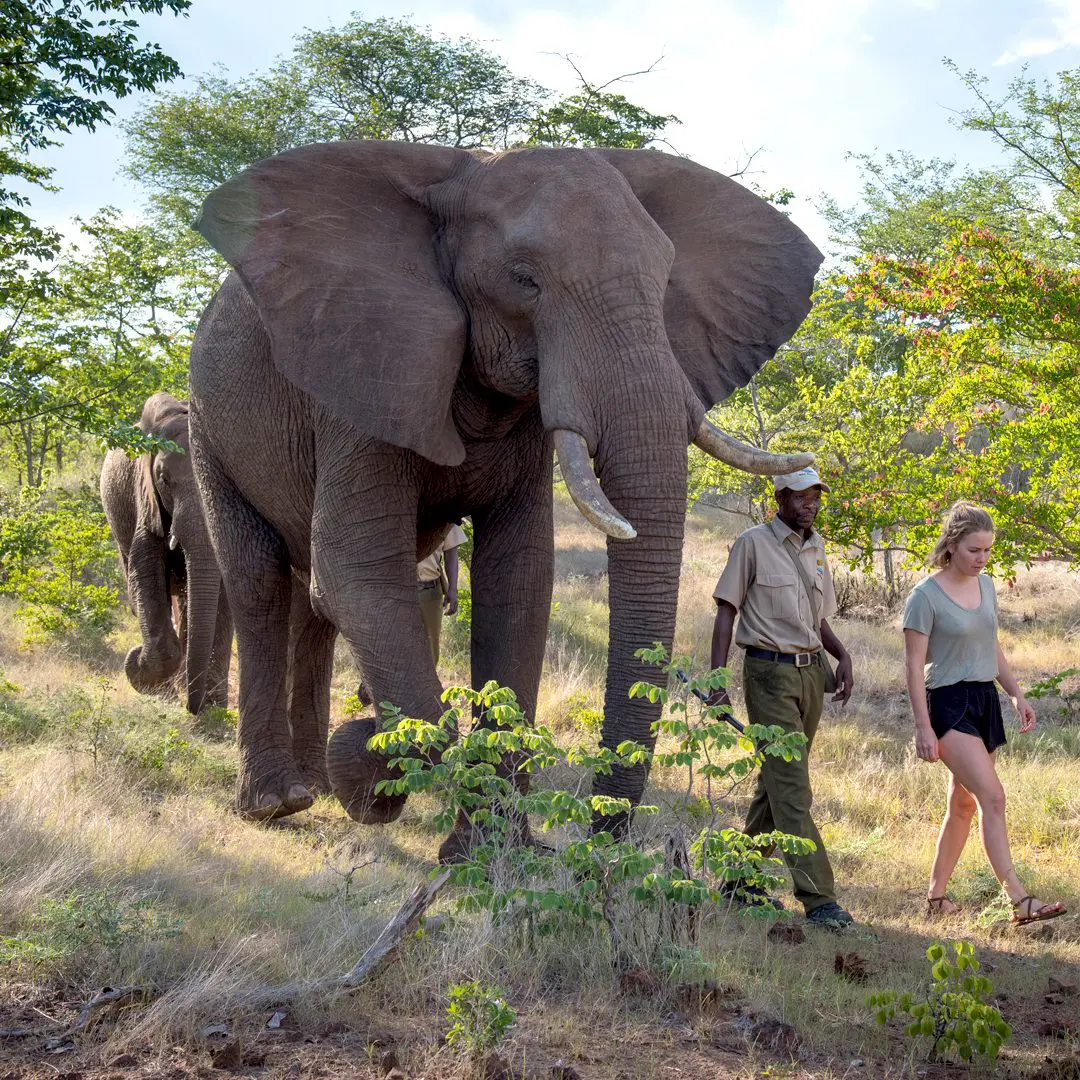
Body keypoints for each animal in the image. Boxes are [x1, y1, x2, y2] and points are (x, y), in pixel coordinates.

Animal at [100, 393, 233, 716]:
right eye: (163, 479)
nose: (192, 707)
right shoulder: (144, 500)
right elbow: (145, 576)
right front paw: (143, 677)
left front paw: (213, 708)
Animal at [186, 140, 822, 848]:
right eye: (524, 280)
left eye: (664, 282)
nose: (598, 841)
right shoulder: (366, 374)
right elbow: (357, 572)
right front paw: (372, 760)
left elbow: (518, 582)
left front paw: (491, 850)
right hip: (208, 424)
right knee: (261, 582)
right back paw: (279, 802)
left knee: (309, 605)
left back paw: (317, 786)